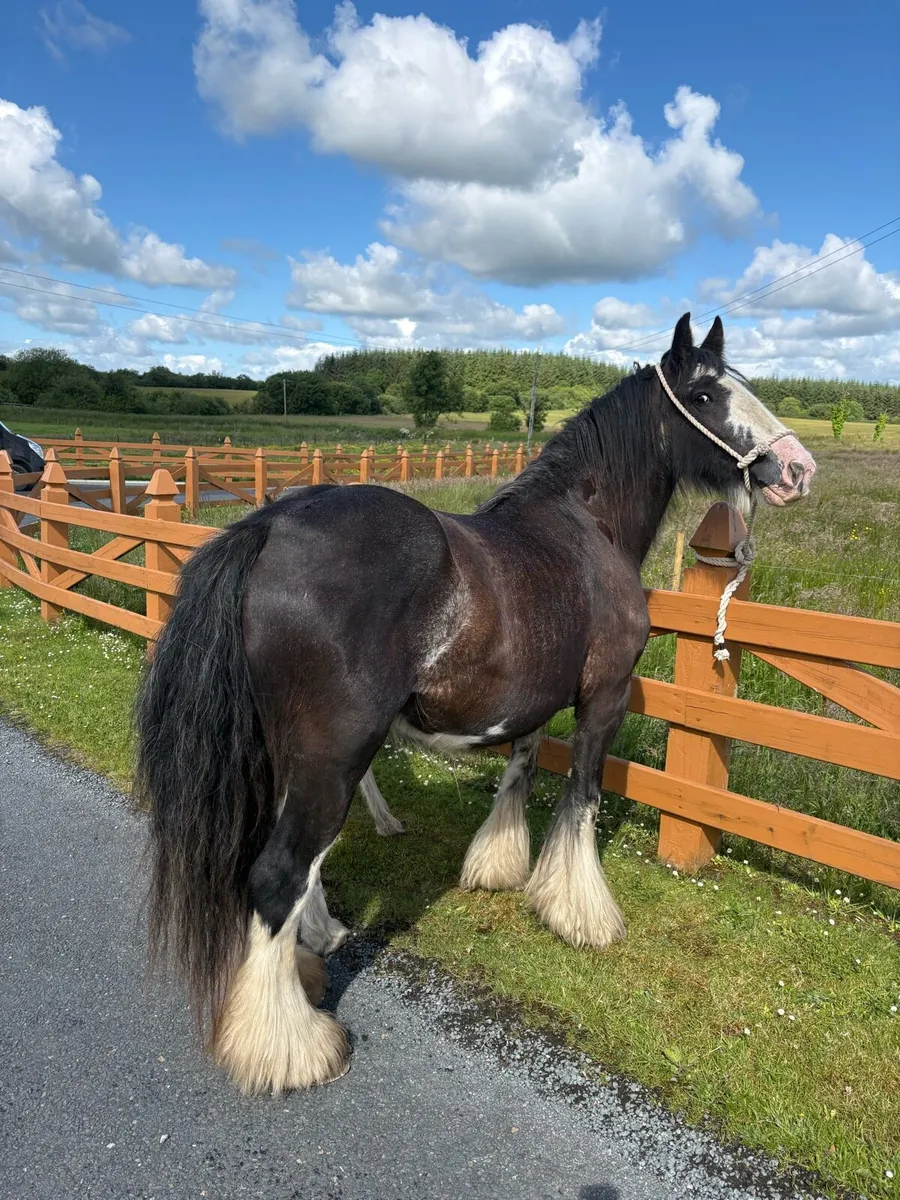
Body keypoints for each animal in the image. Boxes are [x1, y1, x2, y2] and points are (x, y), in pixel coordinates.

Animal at [135, 313, 816, 1095]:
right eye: (705, 394)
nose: (797, 468)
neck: (585, 526)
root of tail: (270, 527)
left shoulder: (538, 701)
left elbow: (519, 771)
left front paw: (499, 868)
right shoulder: (603, 697)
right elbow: (582, 796)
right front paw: (580, 913)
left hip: (295, 752)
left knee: (299, 863)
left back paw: (318, 944)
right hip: (334, 753)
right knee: (277, 873)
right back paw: (288, 1047)